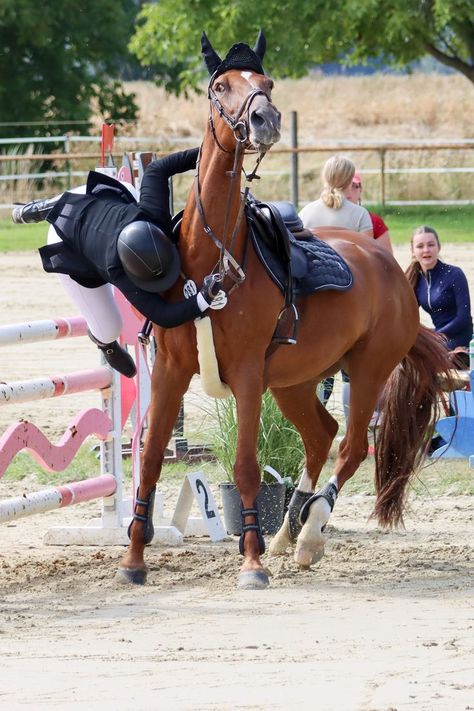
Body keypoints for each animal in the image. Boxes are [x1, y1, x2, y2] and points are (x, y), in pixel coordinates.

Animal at [117, 32, 452, 588]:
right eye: (220, 87)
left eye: (267, 83)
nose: (265, 119)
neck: (213, 259)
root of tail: (389, 266)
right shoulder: (170, 371)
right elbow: (148, 461)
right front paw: (133, 560)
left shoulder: (249, 377)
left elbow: (247, 468)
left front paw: (250, 563)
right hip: (295, 381)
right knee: (322, 436)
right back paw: (286, 532)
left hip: (366, 372)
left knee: (350, 447)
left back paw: (310, 534)